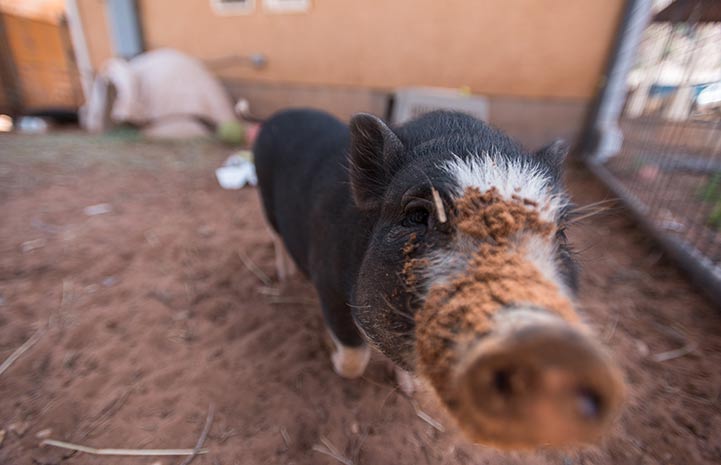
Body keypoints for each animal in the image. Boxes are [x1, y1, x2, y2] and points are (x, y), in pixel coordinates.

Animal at [255, 109, 624, 446]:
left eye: (560, 232)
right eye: (417, 215)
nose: (548, 342)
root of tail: (279, 115)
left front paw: (410, 389)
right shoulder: (327, 284)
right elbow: (353, 356)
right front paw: (333, 359)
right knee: (274, 236)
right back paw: (284, 275)